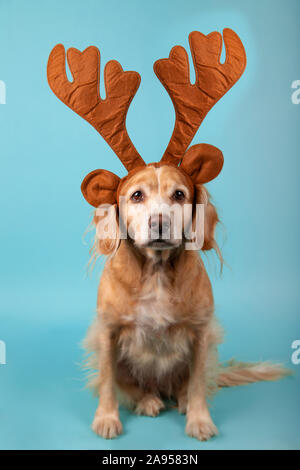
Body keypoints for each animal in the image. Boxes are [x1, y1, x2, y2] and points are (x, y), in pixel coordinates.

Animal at [47, 28, 290, 440]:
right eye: (136, 195)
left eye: (179, 194)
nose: (160, 222)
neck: (157, 272)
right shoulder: (106, 332)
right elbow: (108, 382)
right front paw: (106, 419)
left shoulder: (202, 333)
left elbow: (197, 383)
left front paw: (200, 420)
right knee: (137, 388)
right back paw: (147, 401)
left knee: (184, 387)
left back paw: (179, 402)